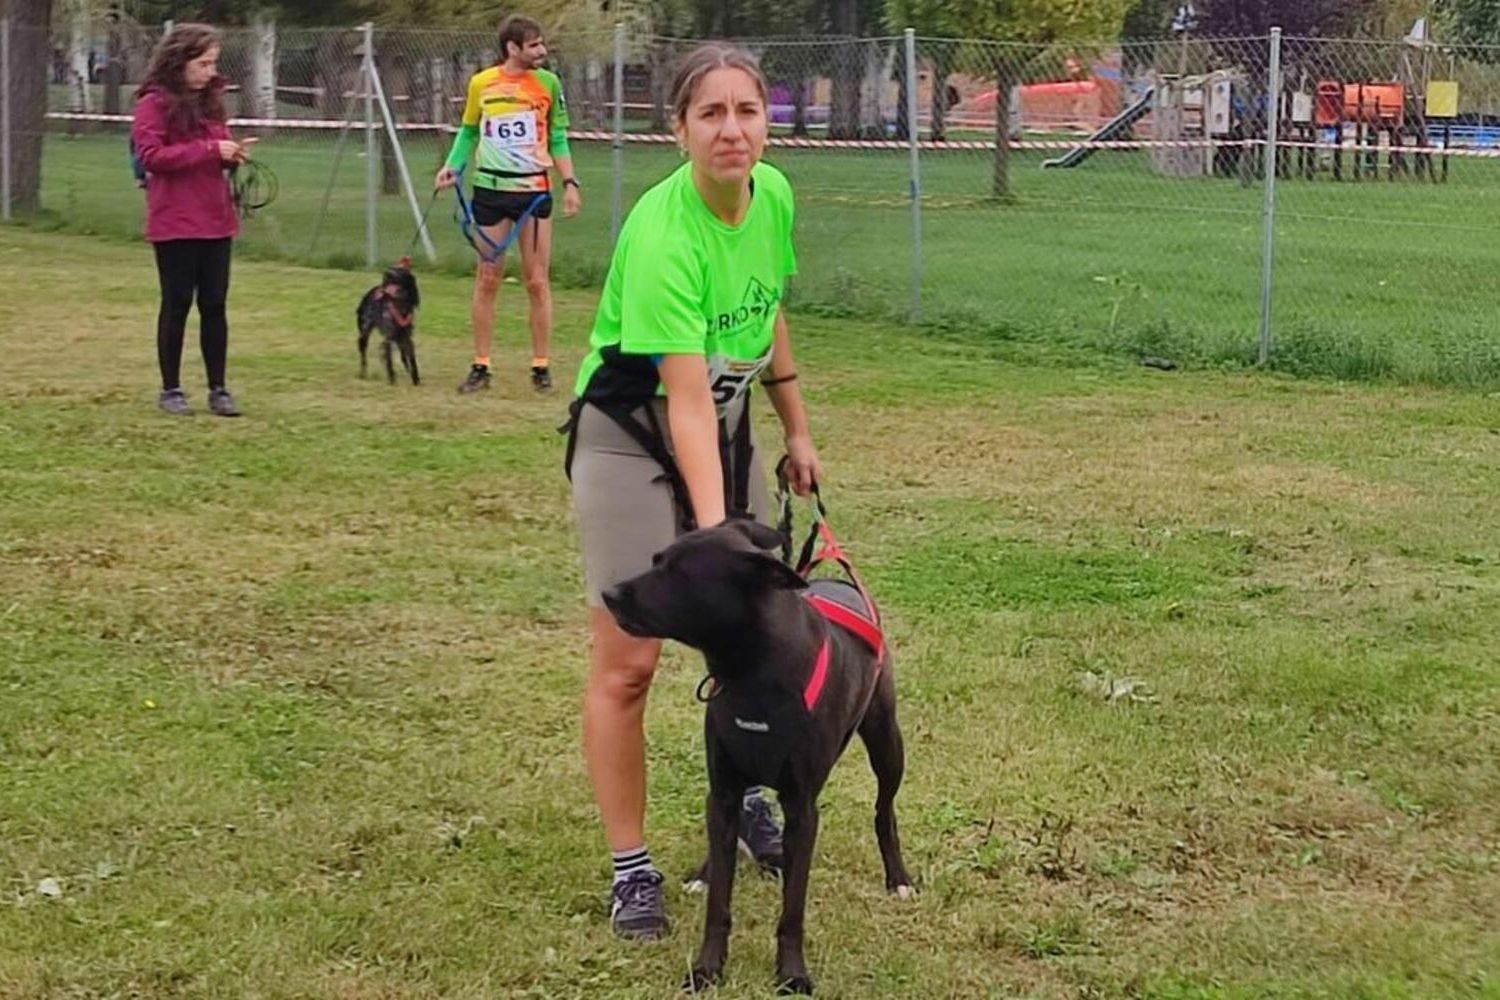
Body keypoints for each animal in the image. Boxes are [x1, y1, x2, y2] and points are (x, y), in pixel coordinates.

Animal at [354, 256, 420, 386]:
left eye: (400, 270)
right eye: (390, 268)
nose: (386, 273)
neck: (400, 304)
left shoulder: (406, 336)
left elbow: (412, 360)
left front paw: (415, 380)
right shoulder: (388, 338)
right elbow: (389, 362)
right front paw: (392, 379)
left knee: (403, 356)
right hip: (364, 333)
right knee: (363, 355)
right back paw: (363, 374)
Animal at [600, 521, 912, 995]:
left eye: (680, 573)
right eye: (657, 560)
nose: (610, 593)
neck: (750, 670)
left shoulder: (802, 809)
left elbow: (792, 910)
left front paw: (793, 972)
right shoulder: (723, 792)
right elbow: (719, 901)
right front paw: (707, 967)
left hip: (886, 740)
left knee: (884, 809)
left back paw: (898, 877)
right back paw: (705, 870)